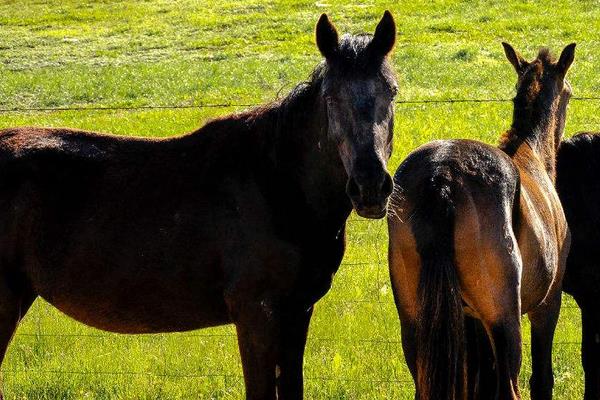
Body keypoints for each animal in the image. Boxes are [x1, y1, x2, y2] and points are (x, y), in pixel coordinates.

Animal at [0, 12, 398, 400]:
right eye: (330, 96)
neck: (277, 184)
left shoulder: (297, 313)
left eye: (391, 92)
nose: (370, 186)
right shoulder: (257, 317)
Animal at [386, 42, 576, 398]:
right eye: (569, 93)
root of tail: (444, 177)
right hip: (504, 321)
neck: (530, 152)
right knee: (510, 387)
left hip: (416, 323)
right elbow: (542, 379)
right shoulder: (548, 304)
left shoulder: (469, 322)